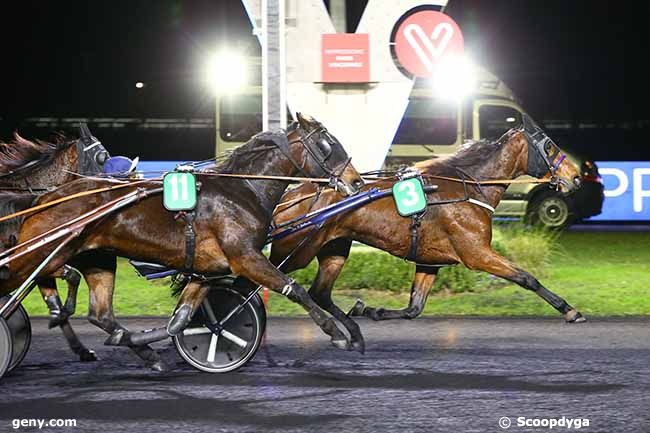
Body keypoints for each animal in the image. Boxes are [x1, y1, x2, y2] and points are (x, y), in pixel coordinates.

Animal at [270, 118, 584, 352]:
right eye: (549, 146)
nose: (577, 177)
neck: (469, 188)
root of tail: (289, 195)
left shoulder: (430, 261)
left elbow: (414, 308)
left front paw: (370, 310)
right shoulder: (477, 253)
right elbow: (527, 278)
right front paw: (570, 310)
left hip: (334, 247)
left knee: (319, 292)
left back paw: (352, 333)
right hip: (296, 250)